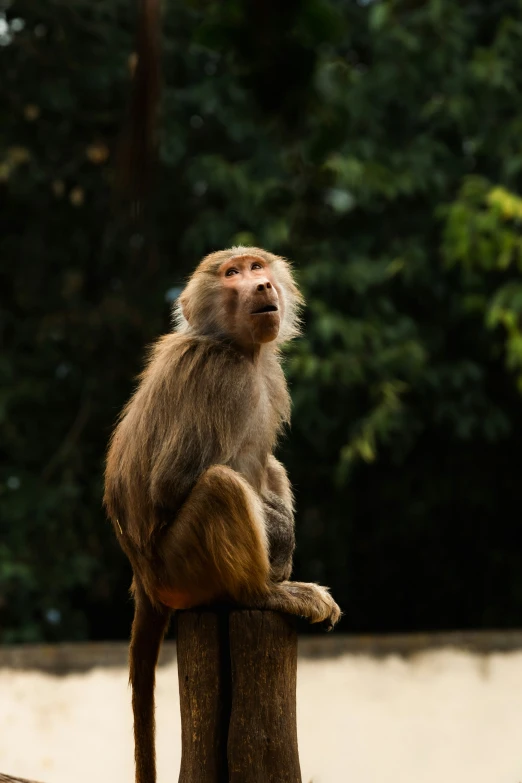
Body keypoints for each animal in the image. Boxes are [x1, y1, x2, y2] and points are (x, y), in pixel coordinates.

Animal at [104, 248, 342, 783]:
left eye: (257, 267)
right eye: (233, 274)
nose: (261, 286)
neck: (235, 349)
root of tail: (144, 582)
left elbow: (265, 464)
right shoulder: (218, 378)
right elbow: (174, 483)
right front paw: (278, 539)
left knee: (264, 468)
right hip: (181, 570)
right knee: (220, 487)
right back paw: (265, 593)